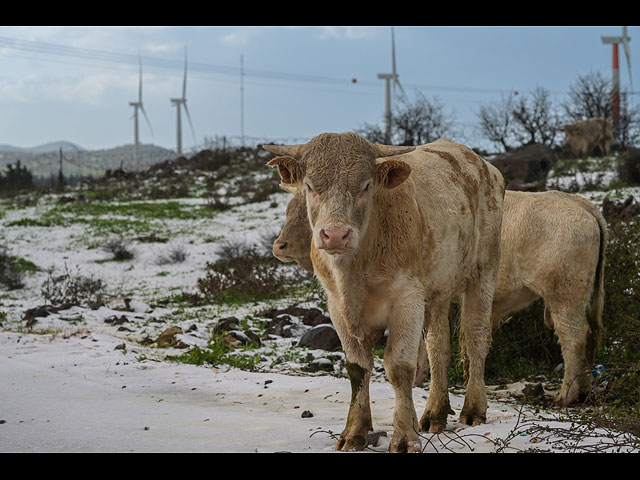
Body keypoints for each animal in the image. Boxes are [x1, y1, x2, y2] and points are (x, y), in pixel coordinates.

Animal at [264, 133, 504, 452]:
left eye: (366, 185)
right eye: (310, 186)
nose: (336, 234)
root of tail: (481, 164)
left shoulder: (407, 299)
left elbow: (400, 367)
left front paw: (405, 436)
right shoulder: (336, 306)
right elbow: (358, 368)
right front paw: (354, 432)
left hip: (483, 271)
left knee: (476, 338)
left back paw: (474, 409)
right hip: (437, 292)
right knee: (438, 348)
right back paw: (434, 413)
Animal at [274, 186, 604, 406]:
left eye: (304, 214)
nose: (280, 245)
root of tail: (578, 202)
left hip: (565, 296)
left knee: (574, 339)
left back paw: (567, 394)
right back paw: (583, 389)